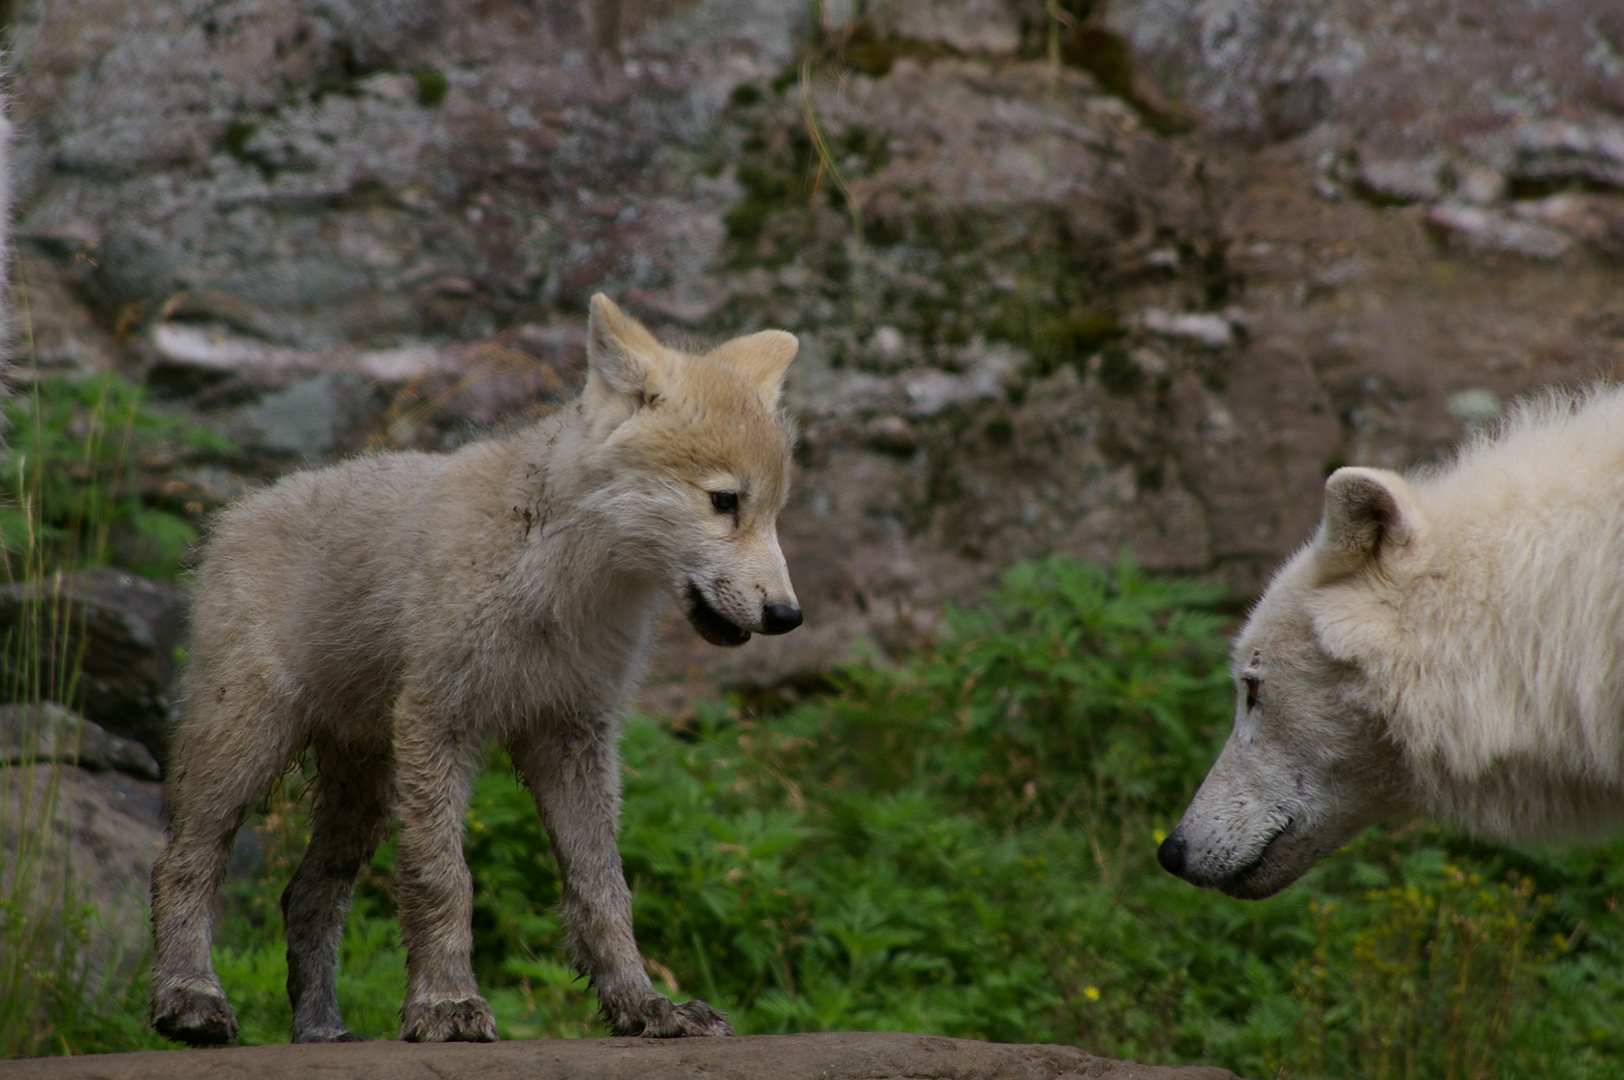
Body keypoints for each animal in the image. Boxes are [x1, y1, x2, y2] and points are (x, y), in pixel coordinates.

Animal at [151, 295, 805, 1045]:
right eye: (725, 501)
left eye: (774, 512)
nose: (788, 615)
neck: (559, 581)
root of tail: (235, 512)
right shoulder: (441, 722)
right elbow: (444, 880)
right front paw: (445, 1004)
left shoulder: (573, 737)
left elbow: (604, 890)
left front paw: (643, 1007)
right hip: (247, 745)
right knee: (182, 863)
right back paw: (190, 997)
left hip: (366, 786)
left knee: (307, 894)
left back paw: (322, 1032)